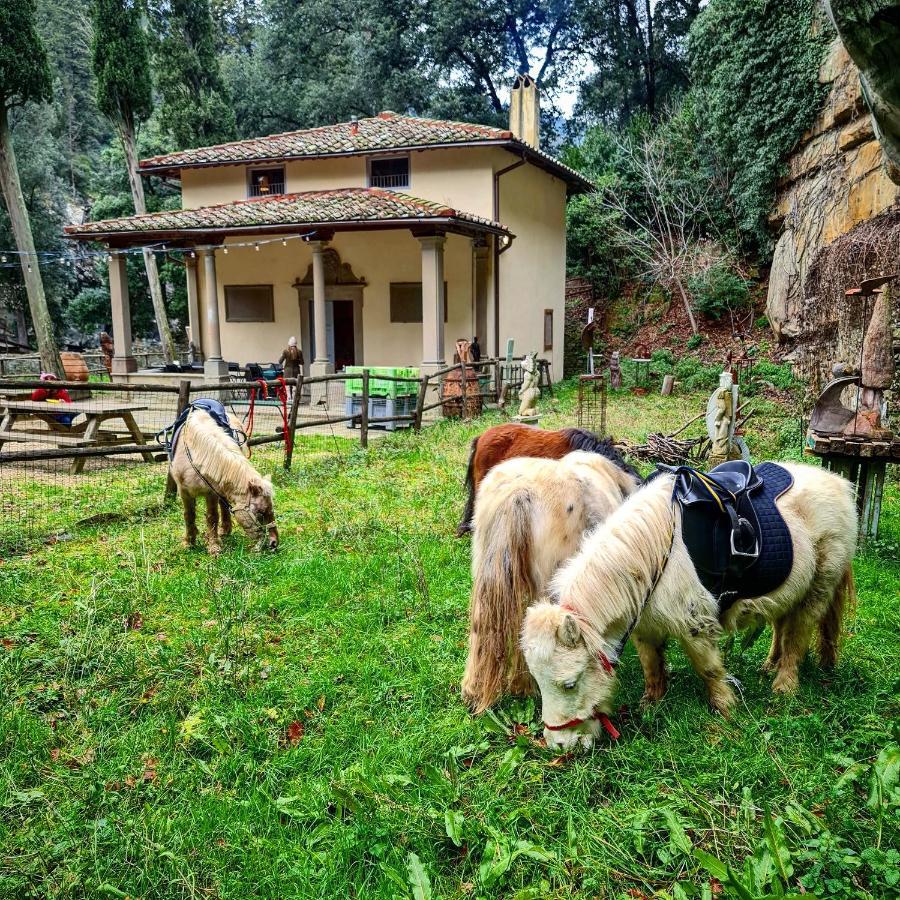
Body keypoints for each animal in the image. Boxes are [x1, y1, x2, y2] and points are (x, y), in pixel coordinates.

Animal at [169, 404, 280, 552]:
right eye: (261, 512)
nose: (274, 543)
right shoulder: (184, 491)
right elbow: (189, 515)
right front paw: (189, 543)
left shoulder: (211, 492)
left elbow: (212, 517)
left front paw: (214, 546)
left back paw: (225, 530)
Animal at [524, 460, 860, 748]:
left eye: (569, 684)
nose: (560, 745)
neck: (651, 553)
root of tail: (840, 484)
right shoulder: (644, 628)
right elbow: (651, 666)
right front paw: (651, 704)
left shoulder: (694, 624)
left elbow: (708, 668)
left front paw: (725, 709)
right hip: (790, 589)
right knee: (781, 626)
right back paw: (769, 665)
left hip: (818, 587)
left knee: (797, 636)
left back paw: (784, 686)